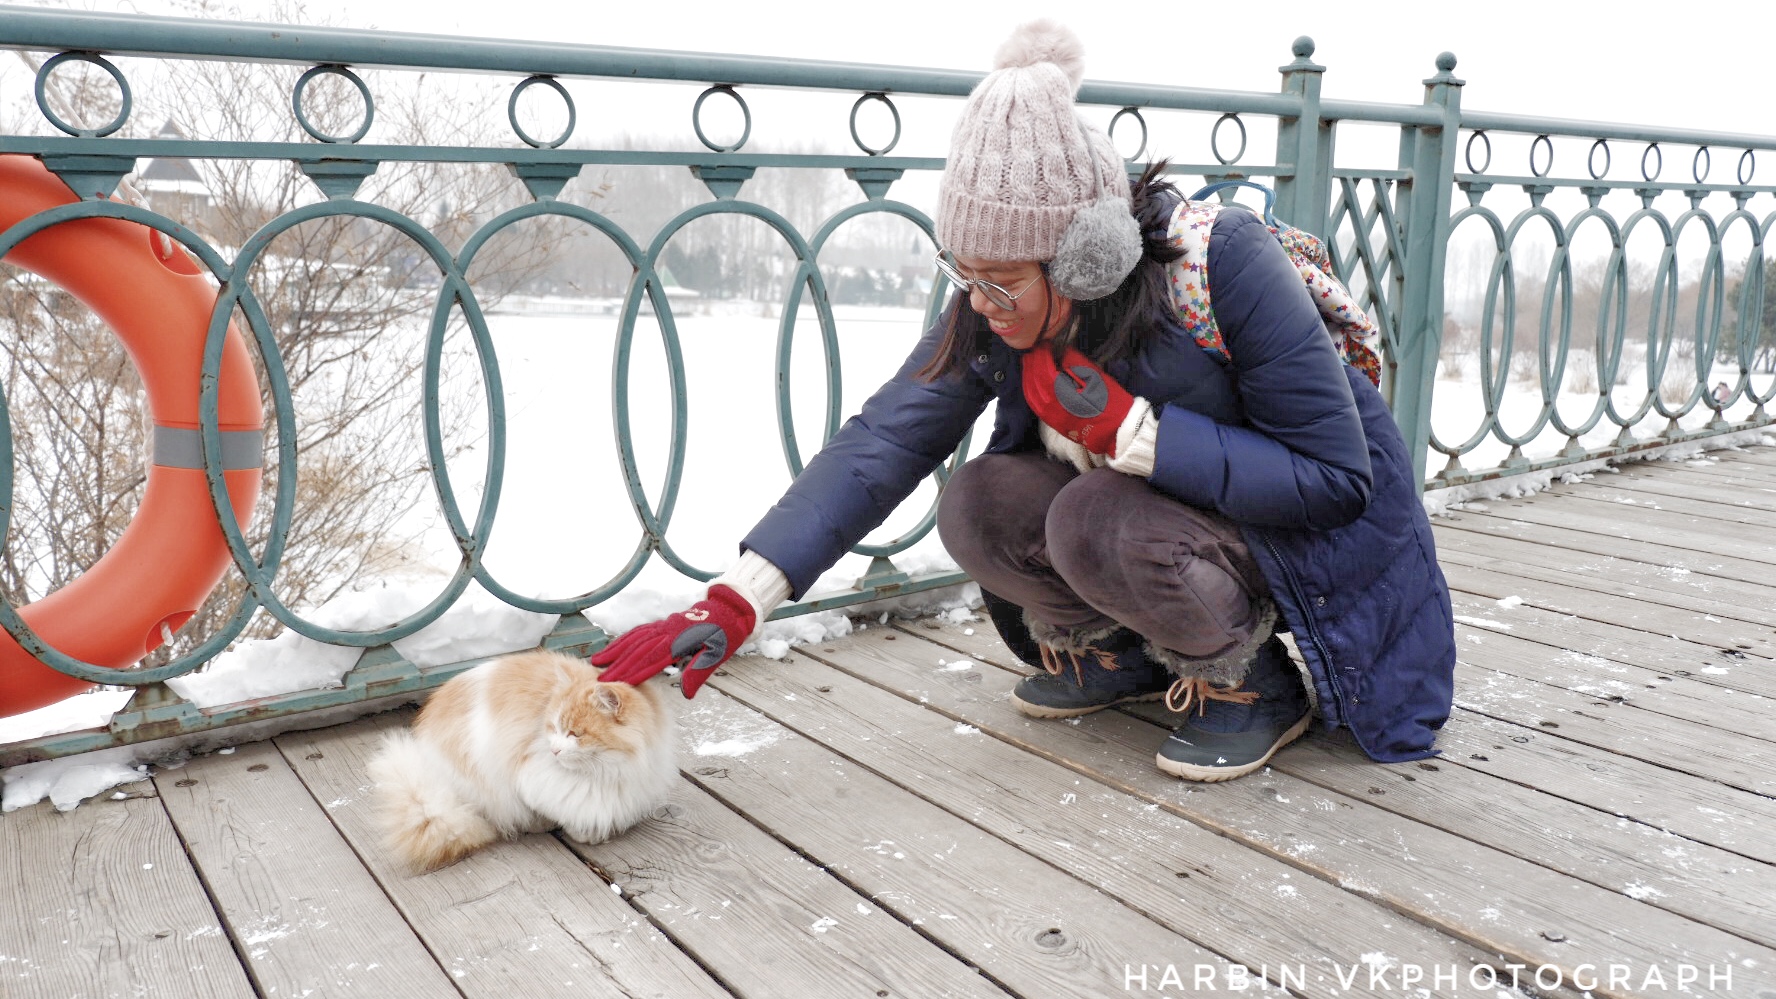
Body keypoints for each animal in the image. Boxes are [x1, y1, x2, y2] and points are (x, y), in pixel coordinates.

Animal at [364, 647, 674, 871]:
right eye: (553, 728)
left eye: (574, 733)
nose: (555, 750)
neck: (610, 769)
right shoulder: (537, 779)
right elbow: (567, 807)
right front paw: (581, 832)